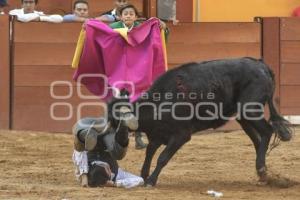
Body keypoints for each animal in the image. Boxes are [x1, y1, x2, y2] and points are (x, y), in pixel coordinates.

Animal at [109, 57, 292, 187]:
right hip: (244, 116)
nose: (116, 144)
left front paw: (151, 181)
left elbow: (162, 157)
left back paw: (261, 168)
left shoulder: (181, 135)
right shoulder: (157, 135)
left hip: (250, 110)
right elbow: (149, 152)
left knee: (267, 131)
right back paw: (263, 174)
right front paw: (144, 175)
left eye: (115, 122)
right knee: (258, 140)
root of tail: (261, 65)